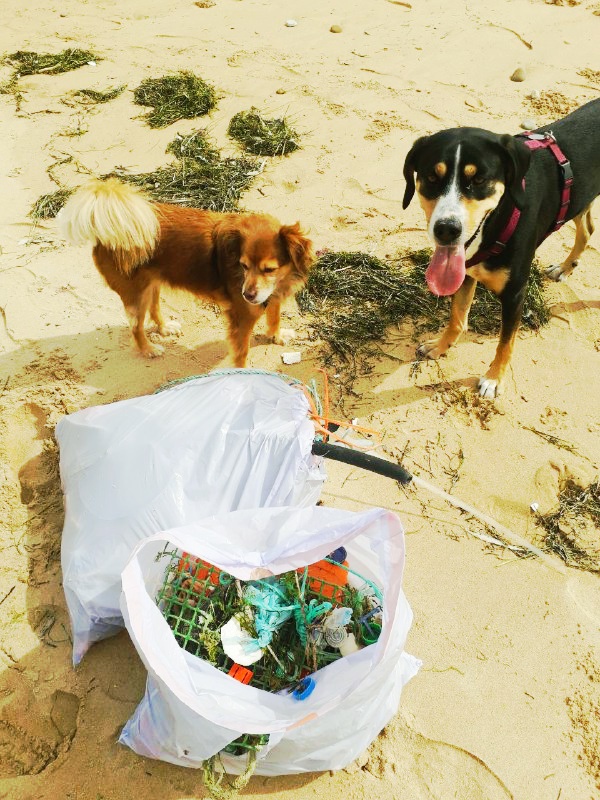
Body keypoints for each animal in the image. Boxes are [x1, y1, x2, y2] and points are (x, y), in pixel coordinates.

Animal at [59, 180, 314, 364]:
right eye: (243, 266)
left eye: (269, 269)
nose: (247, 295)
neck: (278, 282)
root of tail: (108, 232)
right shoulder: (241, 320)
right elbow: (241, 355)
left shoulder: (273, 298)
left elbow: (274, 316)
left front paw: (276, 336)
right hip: (136, 294)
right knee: (136, 326)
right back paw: (148, 349)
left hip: (153, 283)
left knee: (154, 308)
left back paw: (164, 328)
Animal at [404, 98, 600, 398]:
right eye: (431, 178)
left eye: (479, 180)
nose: (446, 229)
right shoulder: (466, 274)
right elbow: (457, 318)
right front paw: (440, 346)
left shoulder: (515, 294)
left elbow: (506, 343)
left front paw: (494, 378)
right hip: (581, 197)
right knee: (587, 229)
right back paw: (565, 267)